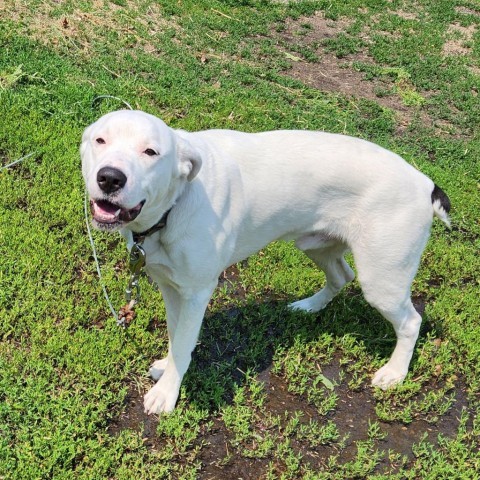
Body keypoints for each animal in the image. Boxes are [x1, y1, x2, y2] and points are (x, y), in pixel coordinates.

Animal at [80, 110, 452, 414]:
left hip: (382, 278)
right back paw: (309, 306)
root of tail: (425, 183)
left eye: (151, 152)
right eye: (100, 140)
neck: (175, 203)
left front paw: (167, 394)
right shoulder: (172, 287)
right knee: (341, 275)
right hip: (317, 245)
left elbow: (184, 343)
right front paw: (166, 367)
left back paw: (395, 372)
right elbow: (175, 338)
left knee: (410, 322)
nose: (109, 178)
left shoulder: (196, 292)